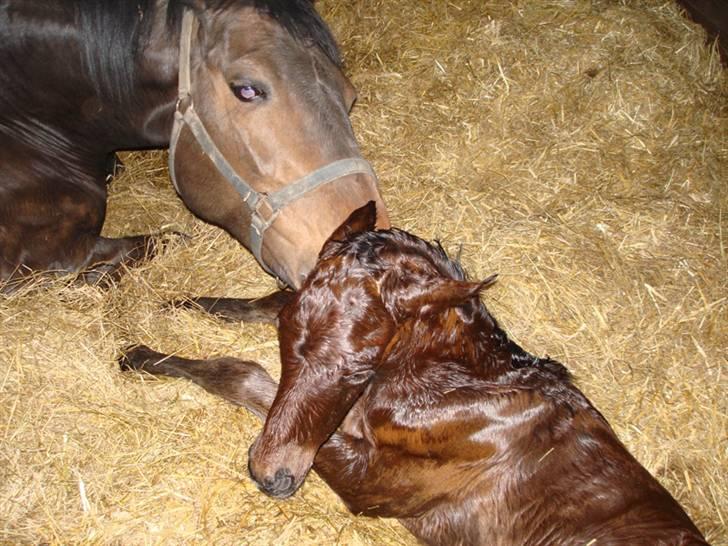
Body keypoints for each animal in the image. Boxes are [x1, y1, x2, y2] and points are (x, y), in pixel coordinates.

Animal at [122, 204, 708, 544]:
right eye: (287, 341)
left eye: (358, 367)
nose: (273, 478)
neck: (458, 385)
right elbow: (264, 303)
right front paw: (169, 312)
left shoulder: (370, 479)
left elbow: (245, 375)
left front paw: (143, 352)